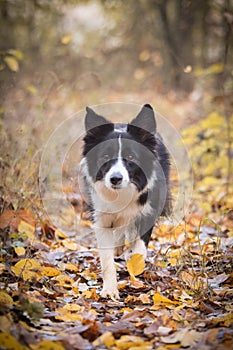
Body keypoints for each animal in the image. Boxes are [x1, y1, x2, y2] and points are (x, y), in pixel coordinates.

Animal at [80, 103, 171, 298]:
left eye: (131, 158)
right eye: (105, 157)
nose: (115, 179)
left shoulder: (149, 210)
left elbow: (141, 247)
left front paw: (135, 265)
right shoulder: (101, 217)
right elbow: (107, 261)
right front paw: (110, 290)